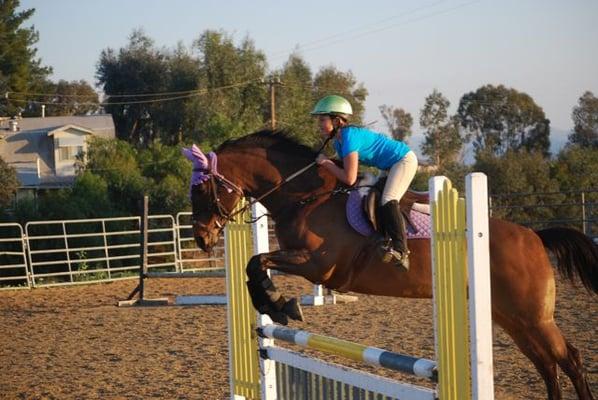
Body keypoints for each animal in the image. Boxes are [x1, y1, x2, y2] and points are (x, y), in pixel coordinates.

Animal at [186, 130, 596, 398]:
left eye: (203, 188)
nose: (202, 239)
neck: (306, 197)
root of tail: (534, 236)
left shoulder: (318, 264)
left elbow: (256, 262)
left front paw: (279, 304)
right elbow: (254, 266)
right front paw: (276, 305)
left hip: (532, 316)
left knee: (570, 359)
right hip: (511, 317)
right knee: (547, 365)